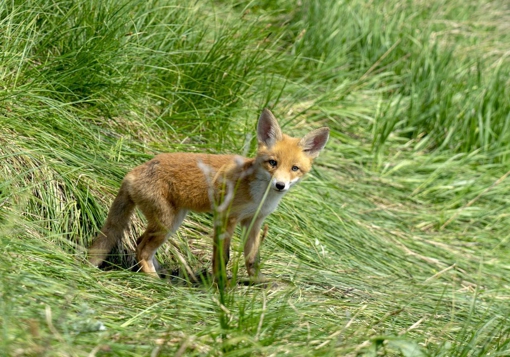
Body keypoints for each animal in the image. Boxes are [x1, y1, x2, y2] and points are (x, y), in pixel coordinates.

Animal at [87, 108, 328, 280]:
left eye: (295, 168)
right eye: (273, 163)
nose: (280, 185)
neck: (259, 196)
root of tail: (134, 171)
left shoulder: (254, 222)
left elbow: (252, 258)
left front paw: (258, 284)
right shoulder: (226, 218)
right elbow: (223, 257)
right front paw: (221, 285)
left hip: (172, 222)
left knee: (140, 243)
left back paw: (161, 273)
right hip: (167, 222)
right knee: (142, 249)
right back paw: (154, 280)